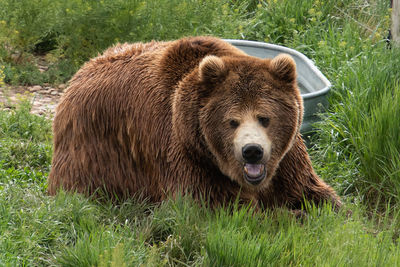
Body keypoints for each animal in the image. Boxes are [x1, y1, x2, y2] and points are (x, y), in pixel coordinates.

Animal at [47, 36, 340, 211]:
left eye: (264, 117)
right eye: (232, 121)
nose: (252, 151)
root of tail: (83, 69)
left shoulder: (287, 162)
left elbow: (314, 192)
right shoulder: (187, 156)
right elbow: (217, 207)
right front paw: (284, 215)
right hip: (93, 152)